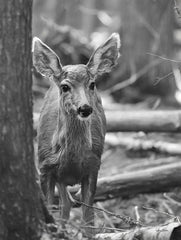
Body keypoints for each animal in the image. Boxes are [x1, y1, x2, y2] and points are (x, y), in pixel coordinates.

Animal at [32, 33, 120, 234]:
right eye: (65, 87)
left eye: (92, 84)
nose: (85, 108)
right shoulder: (45, 167)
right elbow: (50, 208)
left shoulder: (93, 166)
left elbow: (88, 219)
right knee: (65, 204)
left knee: (67, 204)